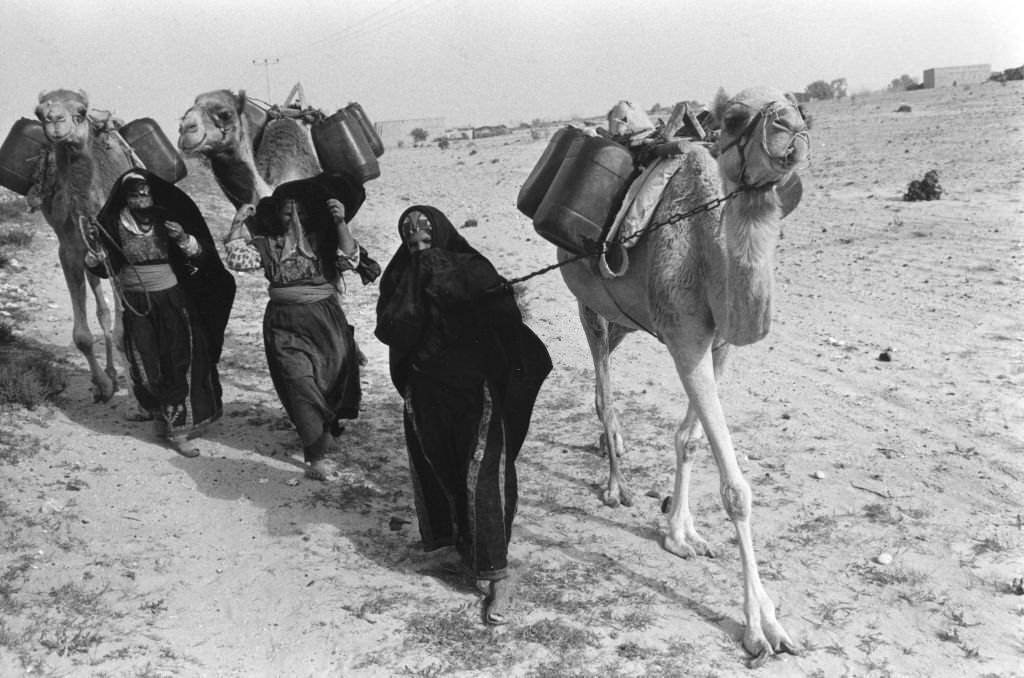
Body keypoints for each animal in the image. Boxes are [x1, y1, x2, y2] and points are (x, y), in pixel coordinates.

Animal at [31, 87, 142, 401]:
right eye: (39, 113)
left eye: (80, 111)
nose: (55, 120)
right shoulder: (69, 250)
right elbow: (82, 336)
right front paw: (103, 385)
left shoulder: (117, 250)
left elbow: (124, 331)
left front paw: (138, 396)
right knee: (101, 309)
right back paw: (111, 376)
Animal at [557, 86, 811, 667]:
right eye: (735, 118)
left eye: (798, 104)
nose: (792, 128)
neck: (708, 246)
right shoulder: (685, 337)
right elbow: (737, 489)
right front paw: (759, 628)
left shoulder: (717, 345)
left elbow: (689, 440)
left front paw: (682, 533)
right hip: (589, 305)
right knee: (604, 387)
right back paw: (615, 483)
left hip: (625, 318)